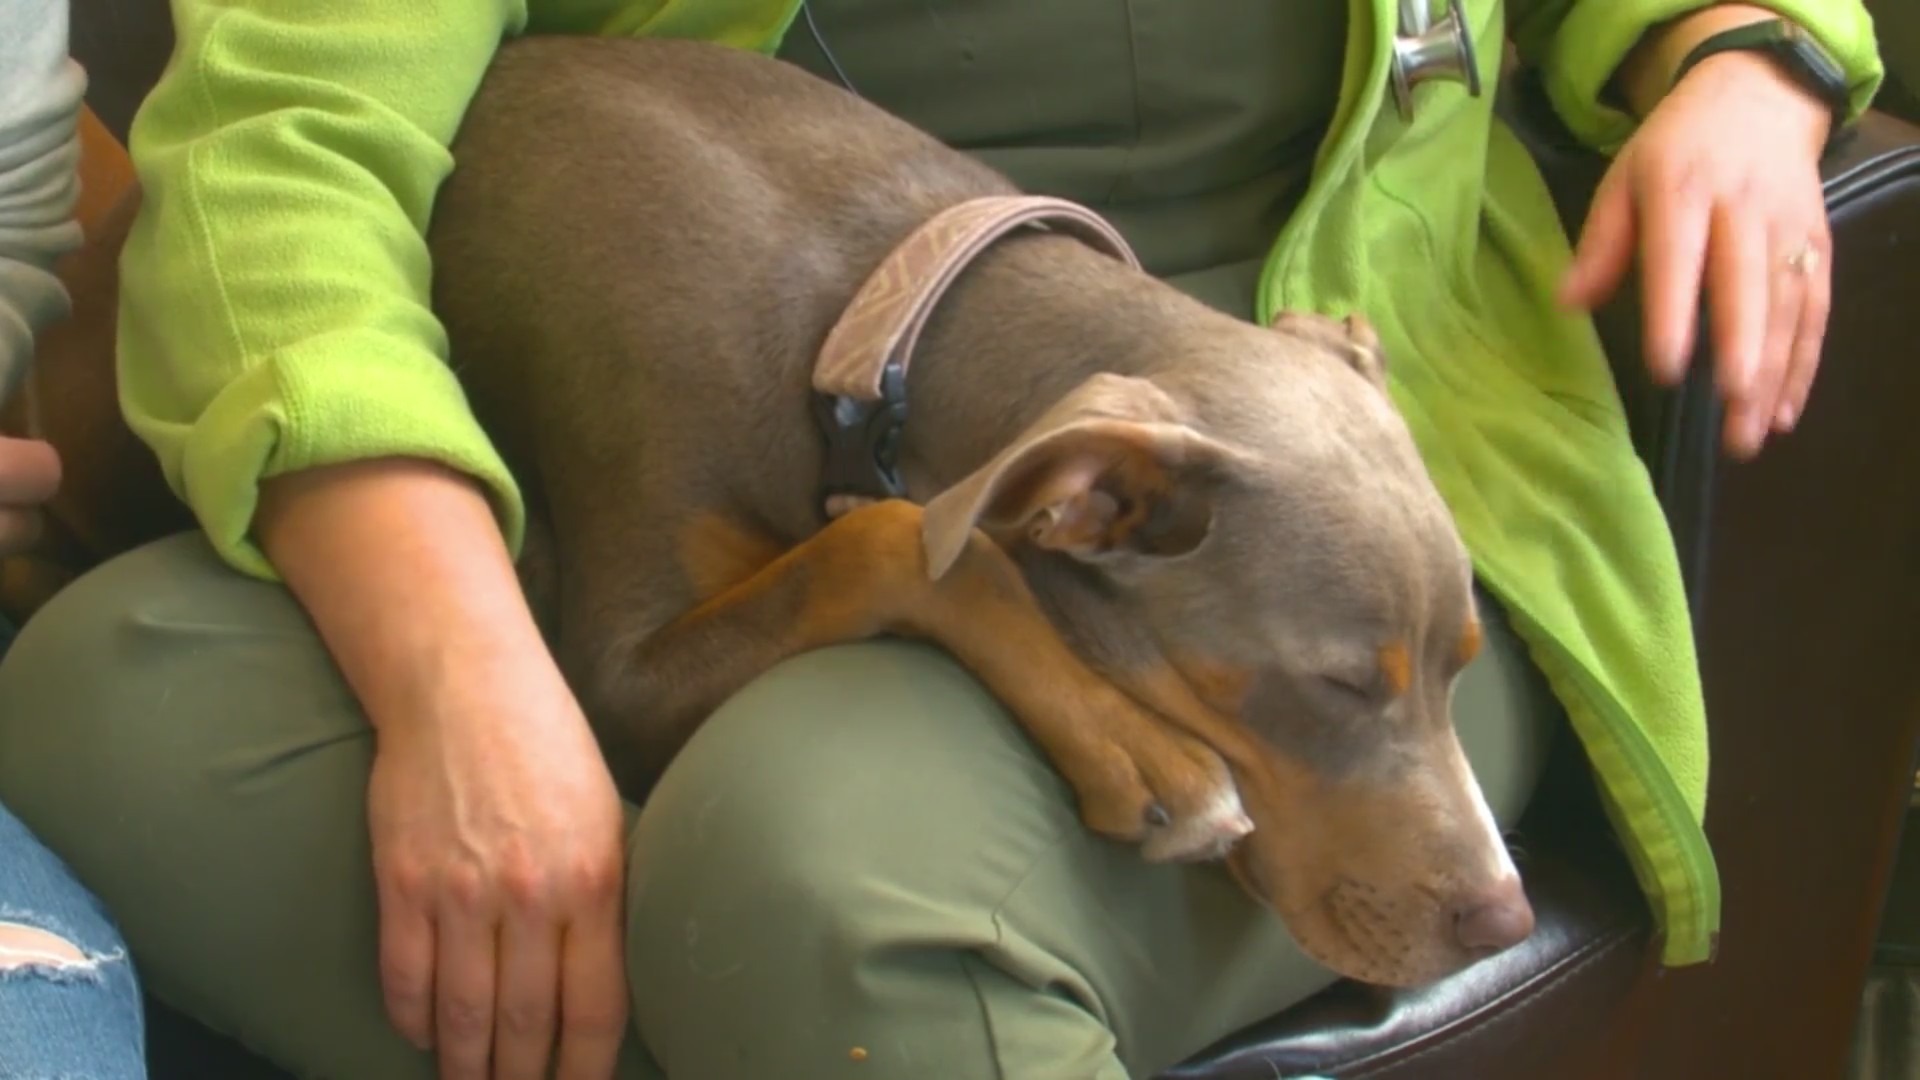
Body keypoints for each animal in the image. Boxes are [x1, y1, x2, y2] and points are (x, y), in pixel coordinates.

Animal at [416, 35, 1528, 983]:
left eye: (1462, 663)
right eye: (1339, 686)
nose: (1503, 921)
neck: (874, 332)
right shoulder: (615, 676)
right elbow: (894, 535)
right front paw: (1140, 745)